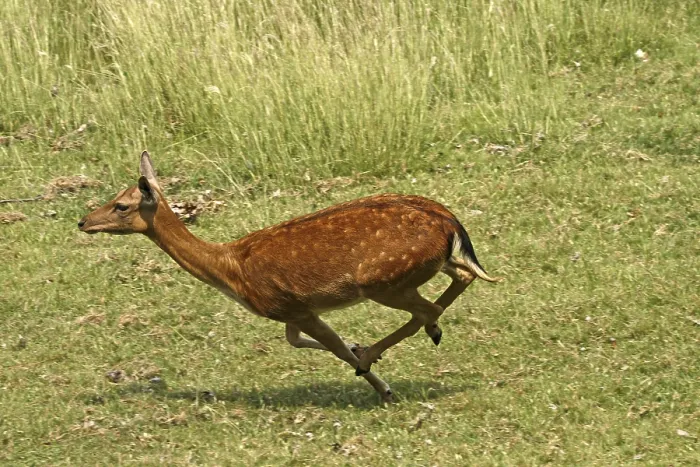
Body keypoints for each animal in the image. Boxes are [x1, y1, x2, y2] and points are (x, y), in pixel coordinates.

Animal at [78, 151, 498, 403]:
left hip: (385, 280)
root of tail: (449, 221)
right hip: (425, 267)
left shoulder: (290, 306)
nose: (83, 221)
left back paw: (388, 349)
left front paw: (381, 385)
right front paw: (363, 354)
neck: (230, 270)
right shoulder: (294, 312)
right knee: (464, 276)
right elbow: (297, 342)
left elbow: (330, 346)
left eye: (121, 205)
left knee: (427, 309)